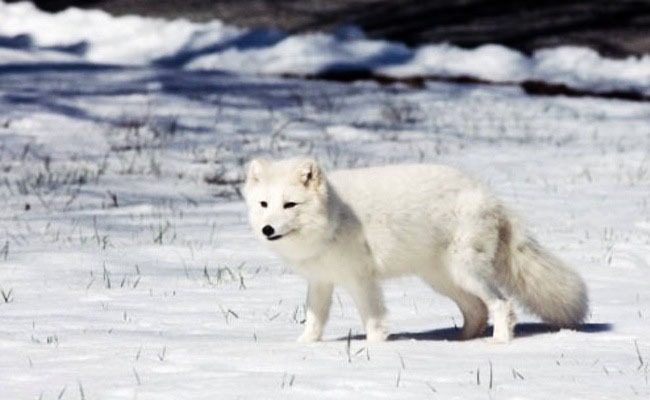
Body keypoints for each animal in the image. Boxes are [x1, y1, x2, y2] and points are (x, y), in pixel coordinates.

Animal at [244, 157, 588, 343]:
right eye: (264, 204)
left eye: (290, 205)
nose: (267, 229)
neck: (334, 216)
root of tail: (491, 198)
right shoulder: (321, 281)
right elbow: (314, 321)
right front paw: (303, 346)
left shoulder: (361, 280)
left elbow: (373, 321)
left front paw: (374, 349)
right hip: (442, 279)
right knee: (477, 310)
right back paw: (459, 342)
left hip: (465, 273)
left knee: (502, 305)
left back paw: (499, 342)